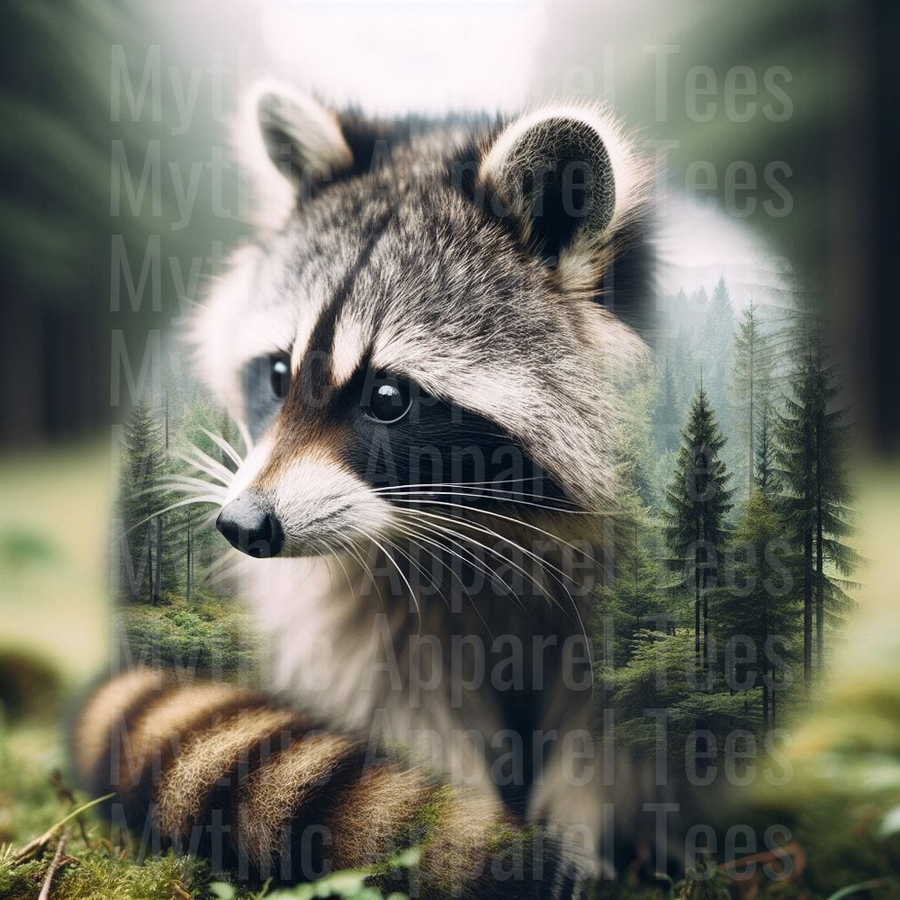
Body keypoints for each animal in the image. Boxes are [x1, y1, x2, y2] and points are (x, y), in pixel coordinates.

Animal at [74, 83, 664, 895]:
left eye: (388, 397)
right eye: (278, 374)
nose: (242, 525)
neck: (502, 519)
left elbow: (620, 715)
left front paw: (579, 824)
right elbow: (403, 694)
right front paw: (455, 831)